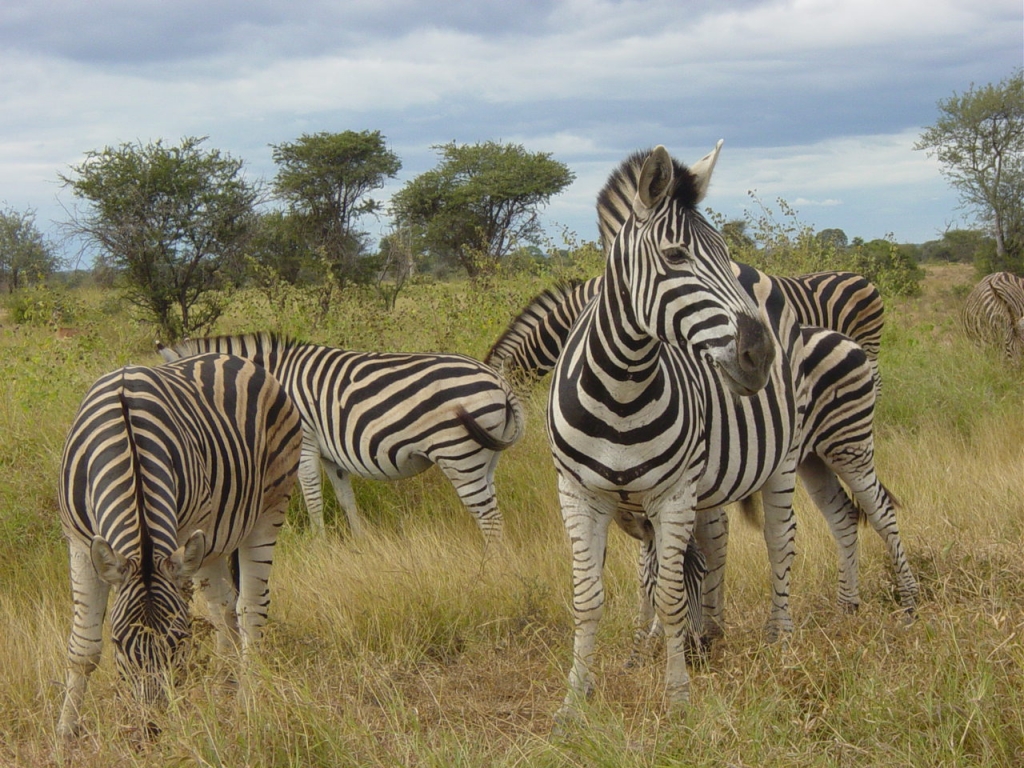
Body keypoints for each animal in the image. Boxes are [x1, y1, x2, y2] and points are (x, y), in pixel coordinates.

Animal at [57, 354, 301, 741]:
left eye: (180, 640)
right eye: (118, 643)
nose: (152, 729)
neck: (127, 446)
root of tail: (231, 357)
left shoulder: (181, 538)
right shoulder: (80, 544)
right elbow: (83, 647)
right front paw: (66, 733)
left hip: (270, 505)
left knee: (250, 609)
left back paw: (247, 699)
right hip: (211, 542)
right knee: (225, 609)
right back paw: (225, 690)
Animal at [161, 333, 528, 544]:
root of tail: (499, 381)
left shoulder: (305, 444)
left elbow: (311, 497)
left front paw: (320, 544)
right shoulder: (330, 455)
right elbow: (345, 498)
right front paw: (360, 542)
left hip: (458, 453)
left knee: (490, 518)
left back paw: (487, 569)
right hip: (485, 457)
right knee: (492, 511)